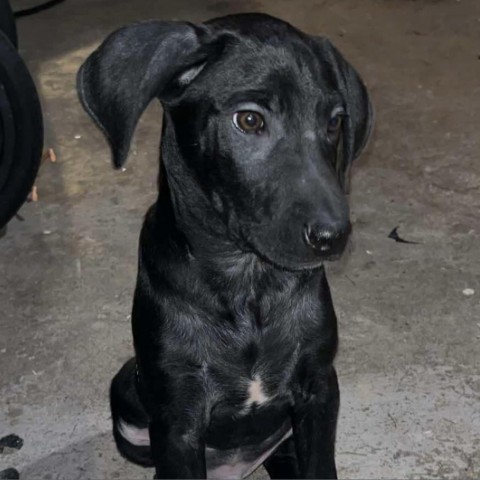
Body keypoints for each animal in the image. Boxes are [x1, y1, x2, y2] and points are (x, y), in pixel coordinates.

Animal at [78, 13, 372, 478]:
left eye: (333, 122)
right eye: (249, 121)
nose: (333, 237)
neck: (248, 282)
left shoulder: (320, 389)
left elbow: (321, 464)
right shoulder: (178, 419)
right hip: (128, 387)